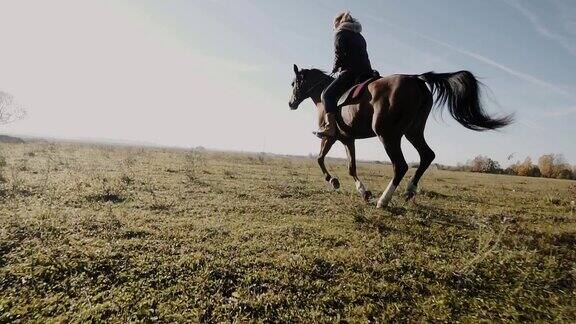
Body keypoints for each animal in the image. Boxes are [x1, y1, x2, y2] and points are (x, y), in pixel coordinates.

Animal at [288, 65, 512, 208]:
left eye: (293, 83)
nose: (291, 103)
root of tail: (416, 79)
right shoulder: (348, 139)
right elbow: (351, 167)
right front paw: (363, 191)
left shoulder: (331, 137)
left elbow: (320, 158)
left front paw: (333, 181)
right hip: (413, 131)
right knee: (427, 155)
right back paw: (410, 190)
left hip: (388, 135)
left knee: (401, 165)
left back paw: (384, 201)